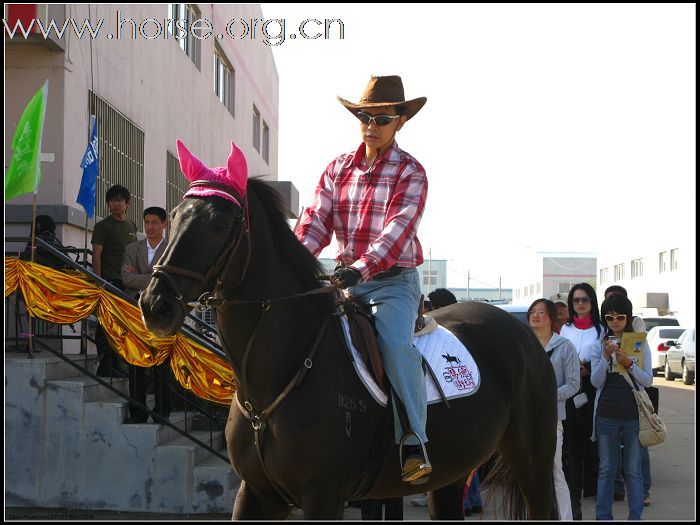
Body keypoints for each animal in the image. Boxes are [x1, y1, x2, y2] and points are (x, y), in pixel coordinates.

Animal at [141, 177, 556, 520]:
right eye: (174, 217)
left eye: (219, 225)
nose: (155, 304)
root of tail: (523, 334)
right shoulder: (257, 494)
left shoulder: (323, 496)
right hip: (450, 473)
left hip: (533, 461)